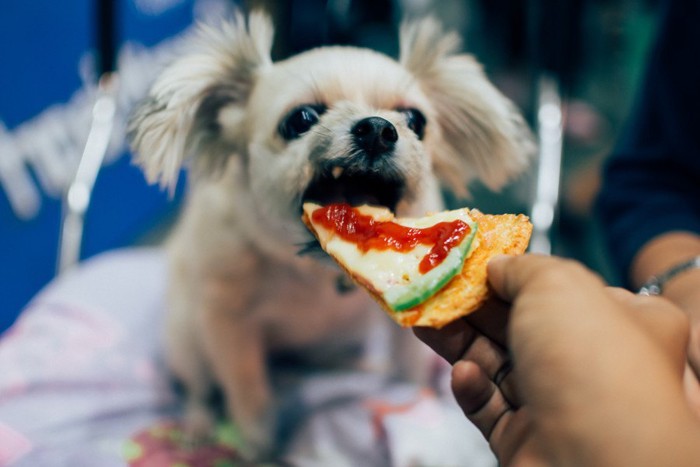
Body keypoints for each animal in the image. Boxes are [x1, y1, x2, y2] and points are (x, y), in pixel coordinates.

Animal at [127, 10, 532, 460]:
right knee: (198, 387)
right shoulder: (227, 322)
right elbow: (247, 392)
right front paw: (257, 445)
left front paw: (409, 400)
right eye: (300, 119)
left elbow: (407, 368)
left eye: (416, 121)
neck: (311, 271)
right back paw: (198, 425)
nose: (377, 128)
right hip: (187, 340)